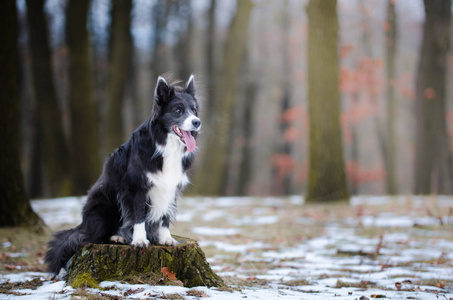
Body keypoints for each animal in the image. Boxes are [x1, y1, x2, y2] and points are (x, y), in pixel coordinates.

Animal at [45, 74, 200, 274]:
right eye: (178, 110)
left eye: (194, 110)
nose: (197, 122)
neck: (165, 144)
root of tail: (83, 224)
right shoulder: (136, 187)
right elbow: (138, 215)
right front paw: (140, 240)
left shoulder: (171, 187)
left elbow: (165, 216)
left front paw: (165, 238)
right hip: (103, 204)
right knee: (90, 237)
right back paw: (117, 237)